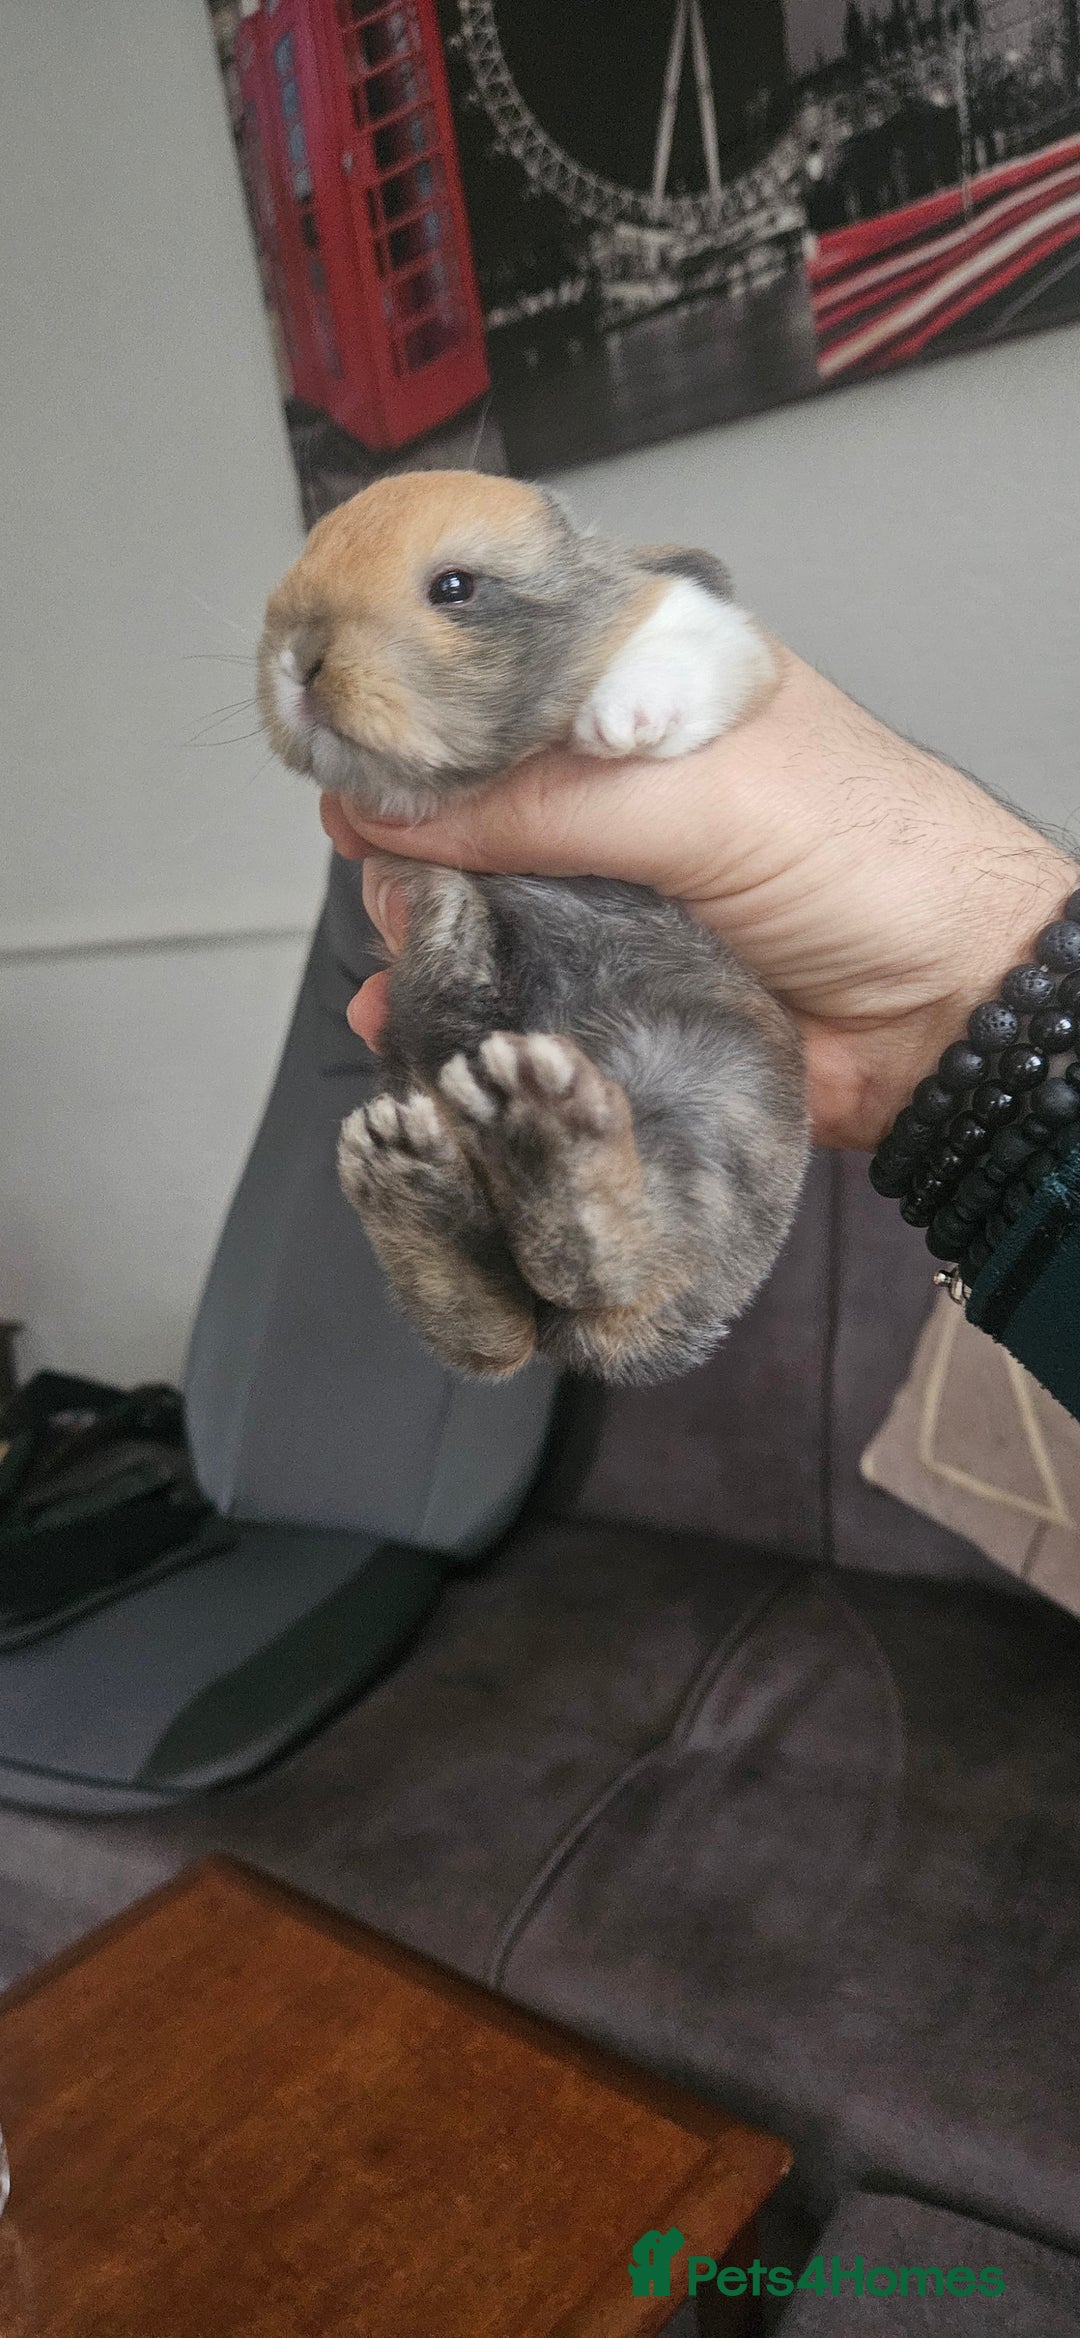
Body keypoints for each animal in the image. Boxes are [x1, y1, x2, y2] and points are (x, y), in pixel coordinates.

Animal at [258, 470, 809, 1383]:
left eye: (454, 587)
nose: (297, 659)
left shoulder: (725, 648)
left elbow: (684, 650)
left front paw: (619, 722)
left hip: (708, 1086)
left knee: (608, 1252)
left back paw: (535, 1117)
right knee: (493, 1317)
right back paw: (408, 1165)